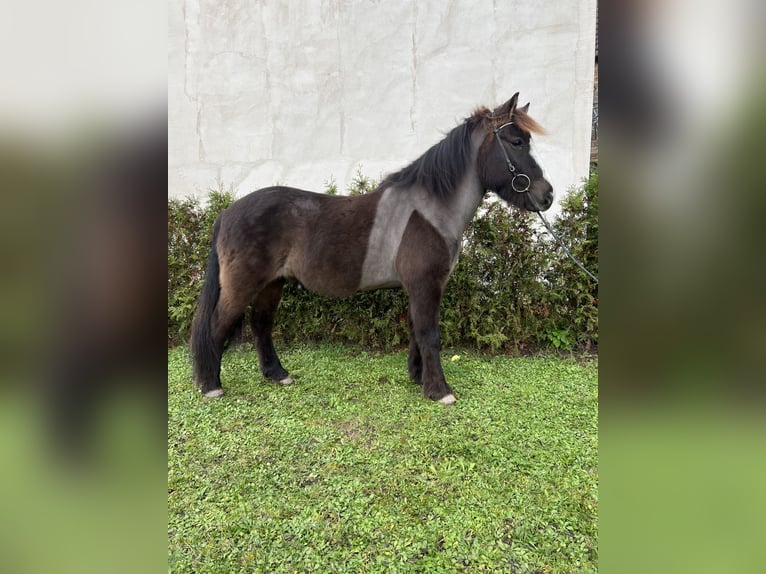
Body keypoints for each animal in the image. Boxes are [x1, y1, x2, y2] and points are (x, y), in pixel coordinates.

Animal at [190, 93, 552, 404]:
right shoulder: (426, 285)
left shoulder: (417, 288)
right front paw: (439, 390)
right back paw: (210, 385)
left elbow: (416, 331)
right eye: (517, 142)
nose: (547, 195)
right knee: (216, 326)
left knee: (261, 325)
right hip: (242, 284)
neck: (427, 210)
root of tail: (226, 213)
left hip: (272, 284)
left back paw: (277, 374)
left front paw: (418, 377)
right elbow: (429, 333)